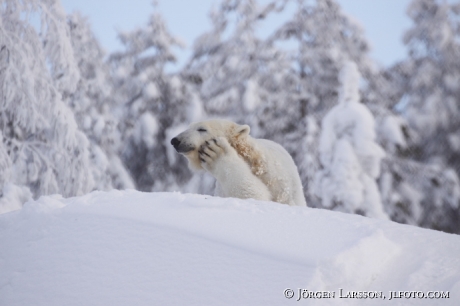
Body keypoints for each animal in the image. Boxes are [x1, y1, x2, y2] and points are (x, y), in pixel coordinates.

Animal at [171, 118, 308, 207]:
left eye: (201, 129)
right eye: (189, 127)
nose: (175, 140)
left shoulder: (282, 186)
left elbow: (255, 196)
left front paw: (216, 153)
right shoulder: (223, 188)